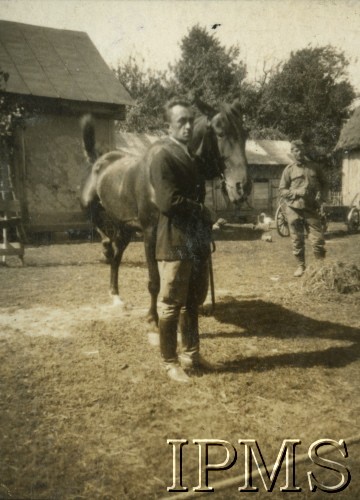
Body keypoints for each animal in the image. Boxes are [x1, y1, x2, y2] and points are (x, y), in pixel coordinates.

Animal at [81, 100, 250, 328]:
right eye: (220, 133)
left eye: (245, 134)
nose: (242, 187)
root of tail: (101, 160)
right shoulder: (150, 233)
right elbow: (154, 281)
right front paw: (152, 317)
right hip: (89, 204)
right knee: (97, 222)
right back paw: (106, 249)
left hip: (126, 229)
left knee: (116, 255)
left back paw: (116, 295)